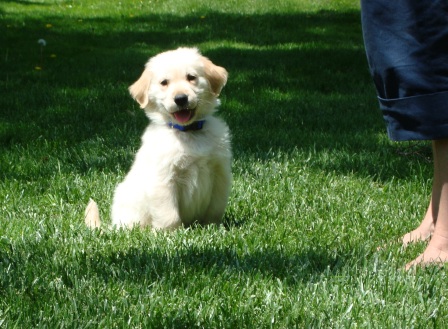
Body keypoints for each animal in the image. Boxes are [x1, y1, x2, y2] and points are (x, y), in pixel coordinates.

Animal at [85, 47, 231, 229]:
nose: (180, 99)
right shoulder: (163, 179)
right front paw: (170, 233)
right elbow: (170, 215)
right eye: (164, 83)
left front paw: (212, 227)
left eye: (191, 77)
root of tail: (113, 227)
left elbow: (215, 209)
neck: (188, 132)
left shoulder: (220, 173)